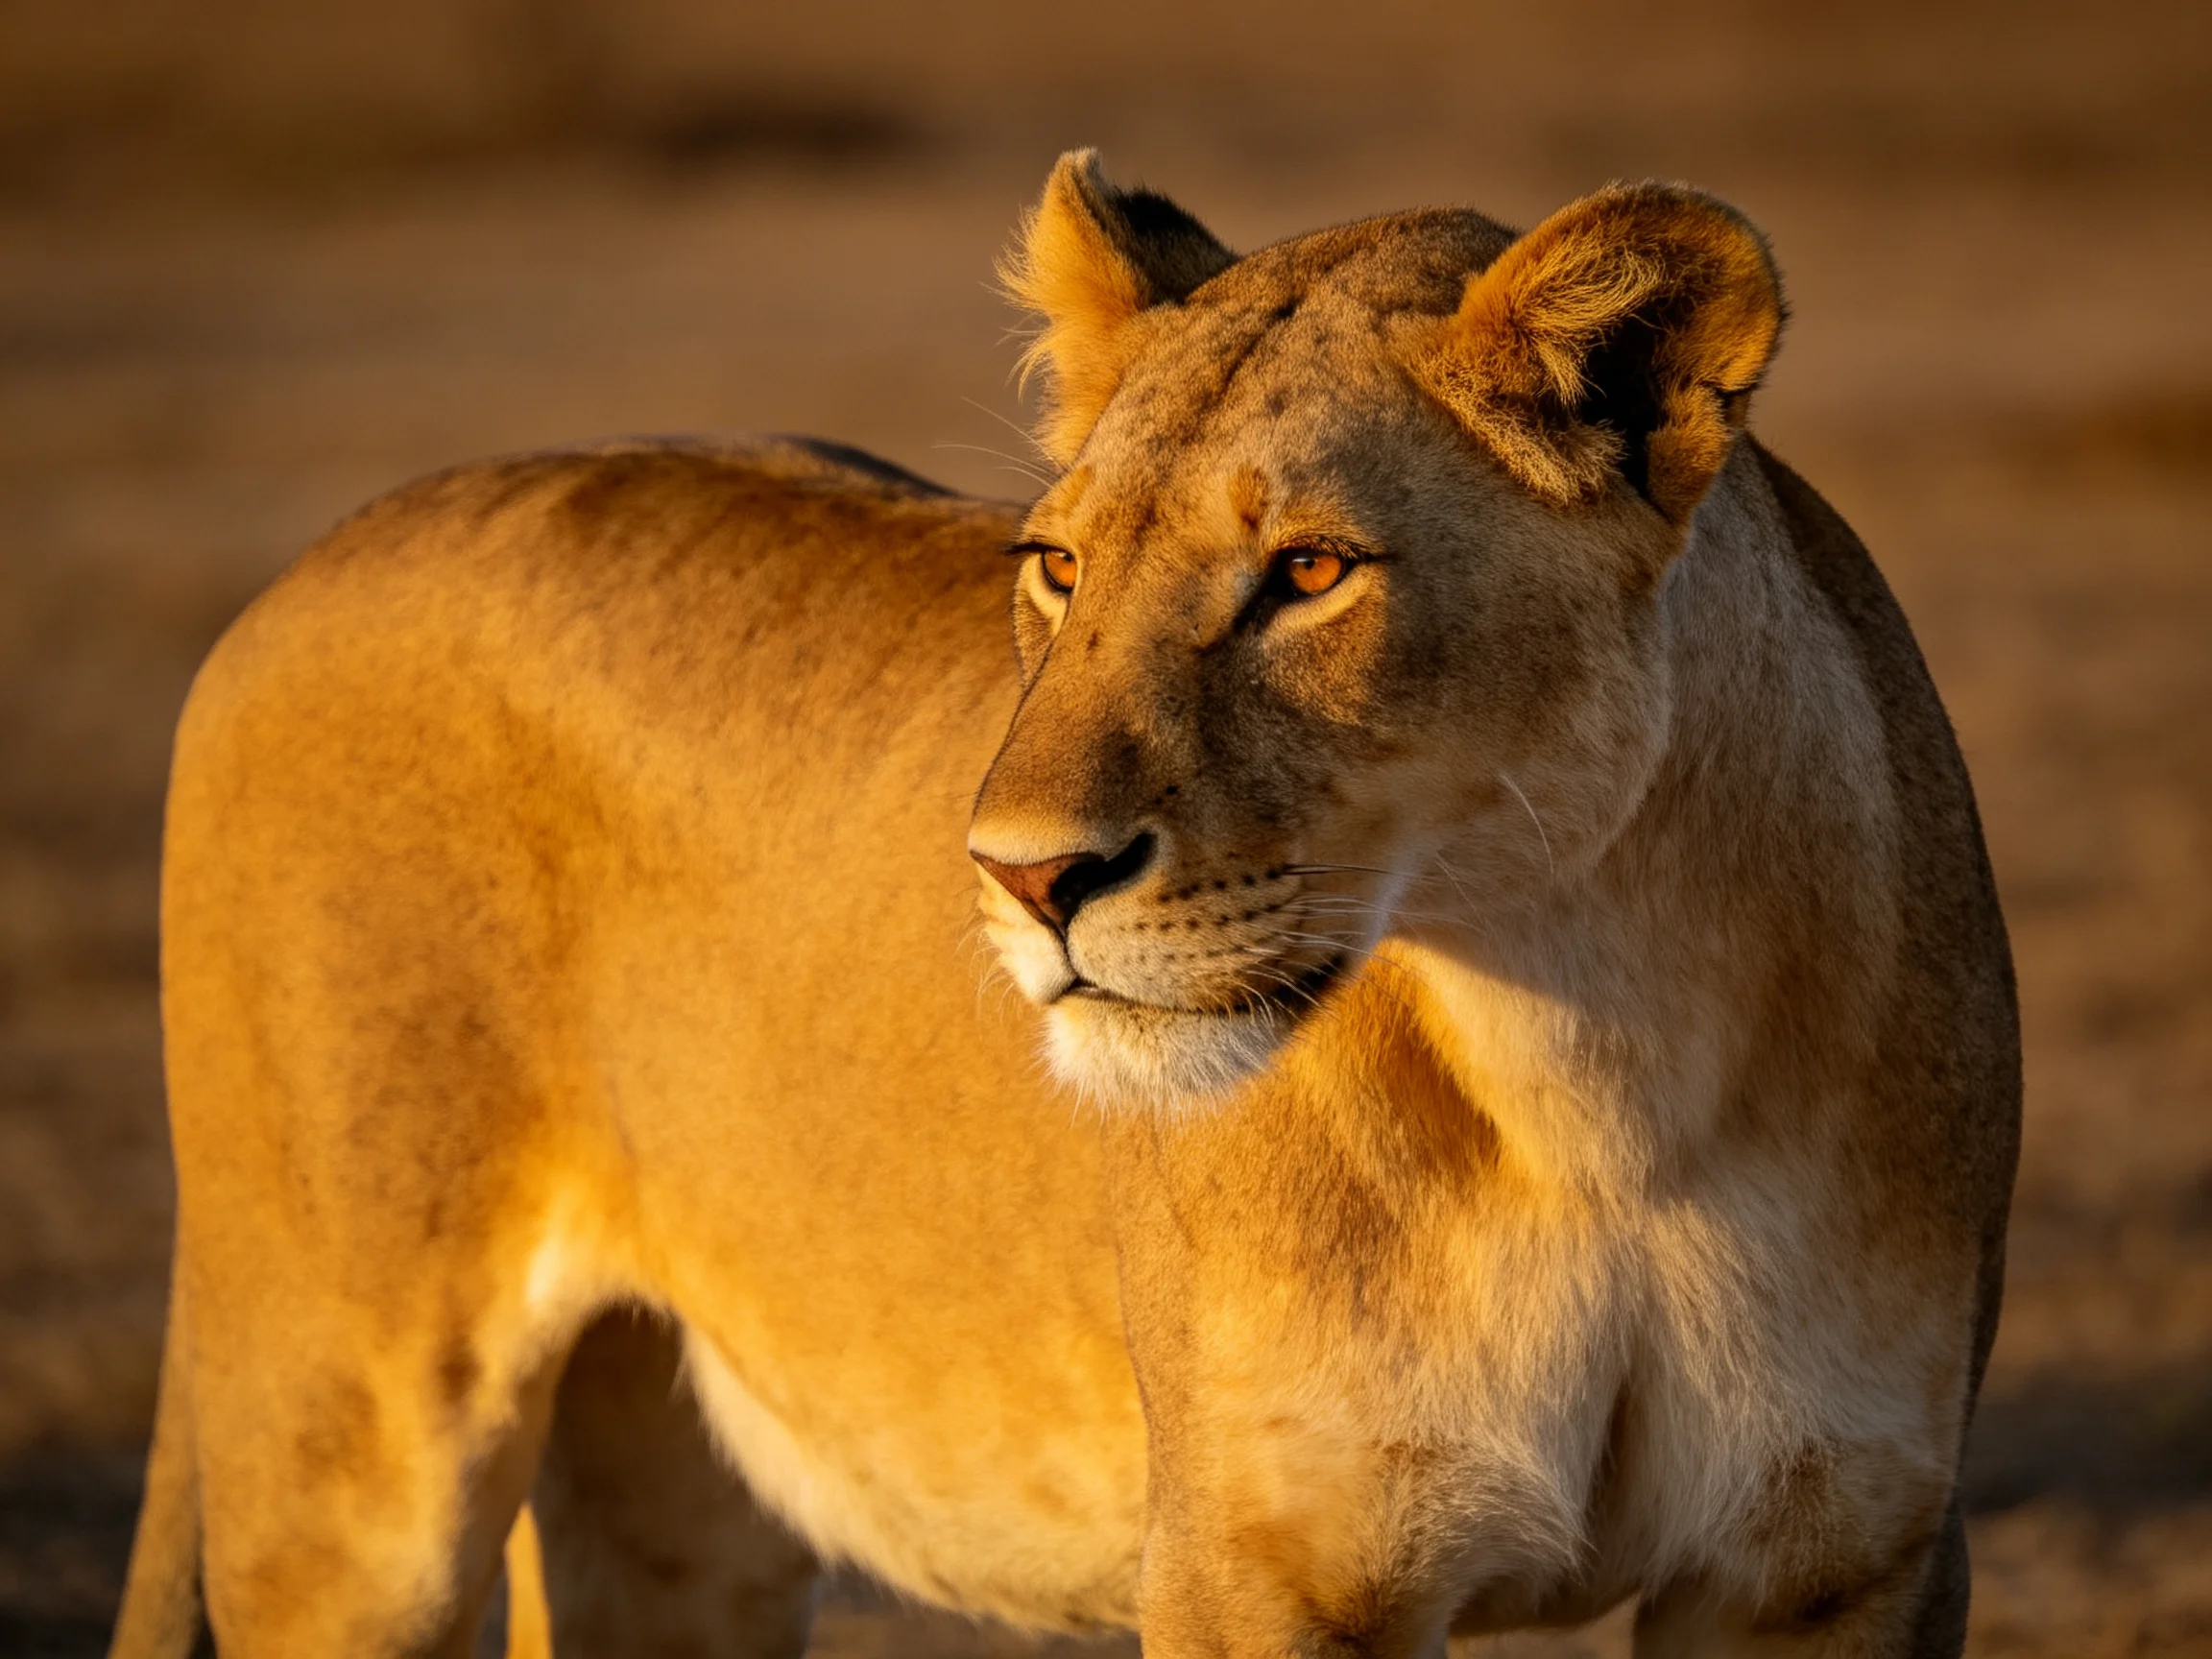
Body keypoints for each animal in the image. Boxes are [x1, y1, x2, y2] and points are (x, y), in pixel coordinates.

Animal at [110, 151, 2018, 1658]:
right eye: (1058, 563)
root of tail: (305, 565)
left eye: (1307, 570)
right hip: (348, 1462)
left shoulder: (1841, 1556)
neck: (1595, 1076)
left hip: (669, 1504)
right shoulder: (1264, 1574)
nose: (1024, 878)